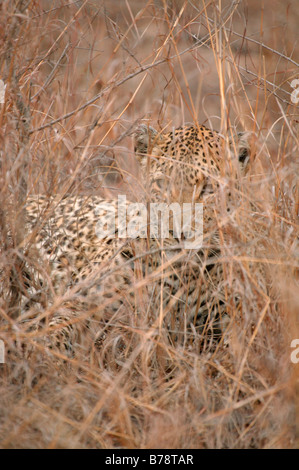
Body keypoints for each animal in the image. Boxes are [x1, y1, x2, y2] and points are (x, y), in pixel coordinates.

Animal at [12, 121, 254, 352]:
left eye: (209, 188)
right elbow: (55, 333)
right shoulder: (78, 303)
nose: (178, 233)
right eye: (162, 184)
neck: (181, 274)